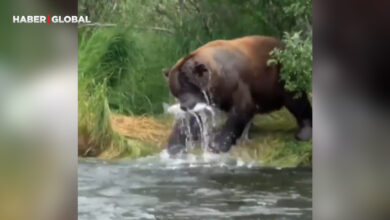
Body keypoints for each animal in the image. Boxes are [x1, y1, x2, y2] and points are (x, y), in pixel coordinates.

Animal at [163, 35, 312, 155]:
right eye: (175, 91)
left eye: (188, 86)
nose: (184, 106)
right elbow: (193, 119)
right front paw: (175, 145)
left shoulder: (236, 84)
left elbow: (242, 109)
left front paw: (217, 144)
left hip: (281, 74)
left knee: (296, 100)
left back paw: (303, 132)